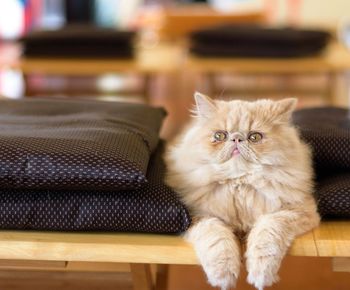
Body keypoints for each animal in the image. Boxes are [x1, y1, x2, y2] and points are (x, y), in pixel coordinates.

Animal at [165, 93, 322, 290]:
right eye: (220, 135)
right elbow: (217, 240)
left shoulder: (299, 210)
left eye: (254, 137)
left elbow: (267, 232)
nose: (237, 139)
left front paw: (261, 273)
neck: (239, 184)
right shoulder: (198, 216)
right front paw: (223, 276)